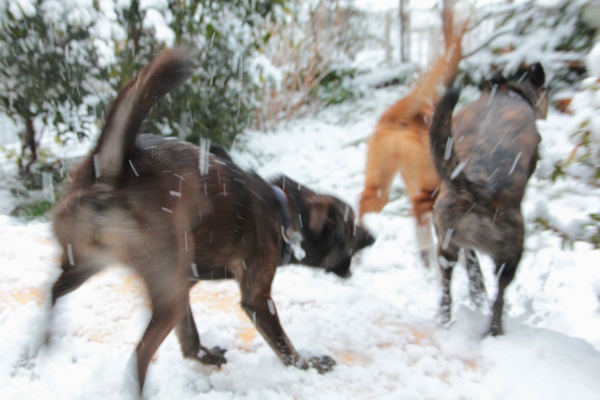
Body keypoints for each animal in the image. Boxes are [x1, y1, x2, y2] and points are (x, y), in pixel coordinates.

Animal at [432, 64, 548, 336]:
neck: (508, 92)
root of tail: (476, 189)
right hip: (511, 253)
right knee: (499, 297)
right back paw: (494, 331)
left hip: (445, 241)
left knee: (449, 281)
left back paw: (447, 318)